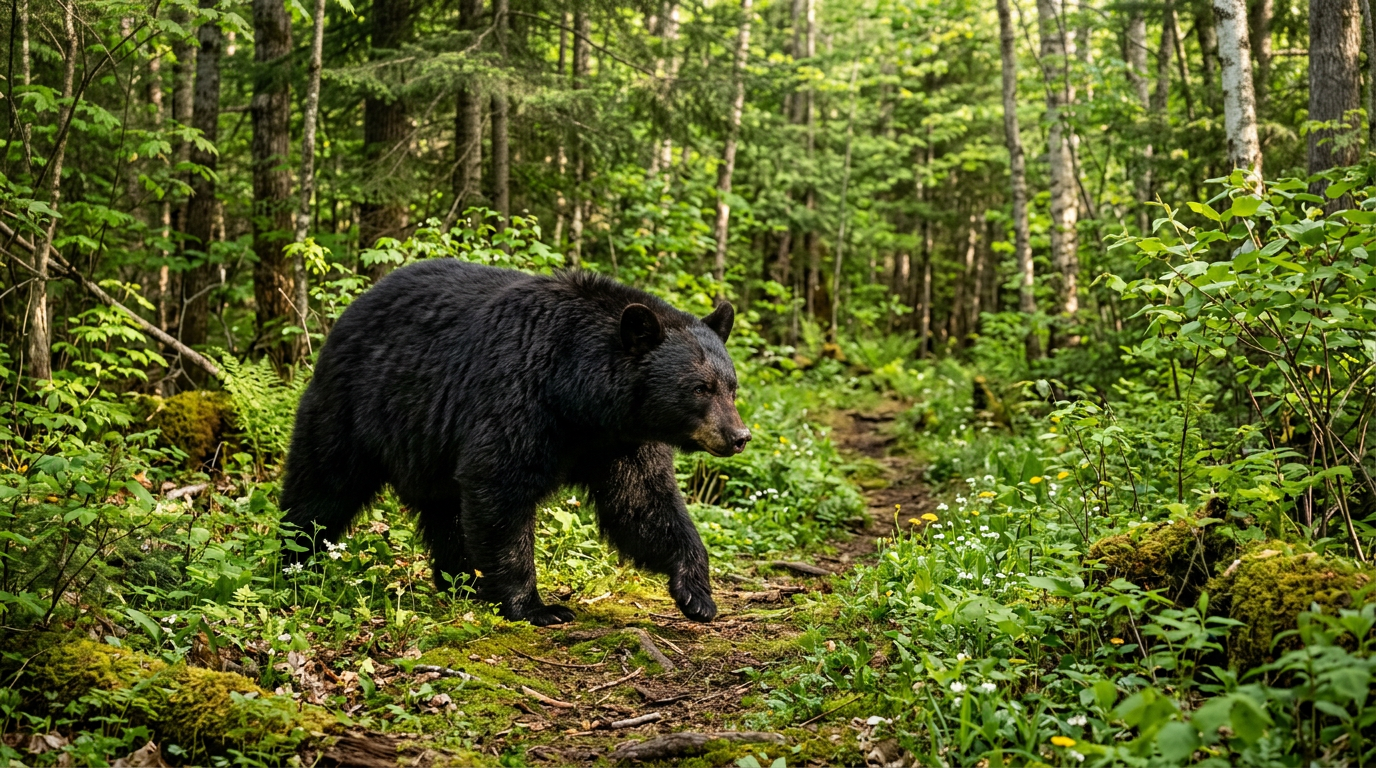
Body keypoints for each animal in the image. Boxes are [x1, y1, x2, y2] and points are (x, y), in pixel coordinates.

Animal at [279, 259, 752, 626]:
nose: (739, 436)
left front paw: (697, 593)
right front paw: (537, 606)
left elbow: (643, 503)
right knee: (322, 485)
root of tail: (353, 308)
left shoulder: (621, 442)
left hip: (427, 445)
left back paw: (461, 582)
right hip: (354, 405)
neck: (581, 398)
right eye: (699, 388)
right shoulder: (520, 400)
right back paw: (294, 561)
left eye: (731, 386)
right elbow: (500, 489)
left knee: (445, 512)